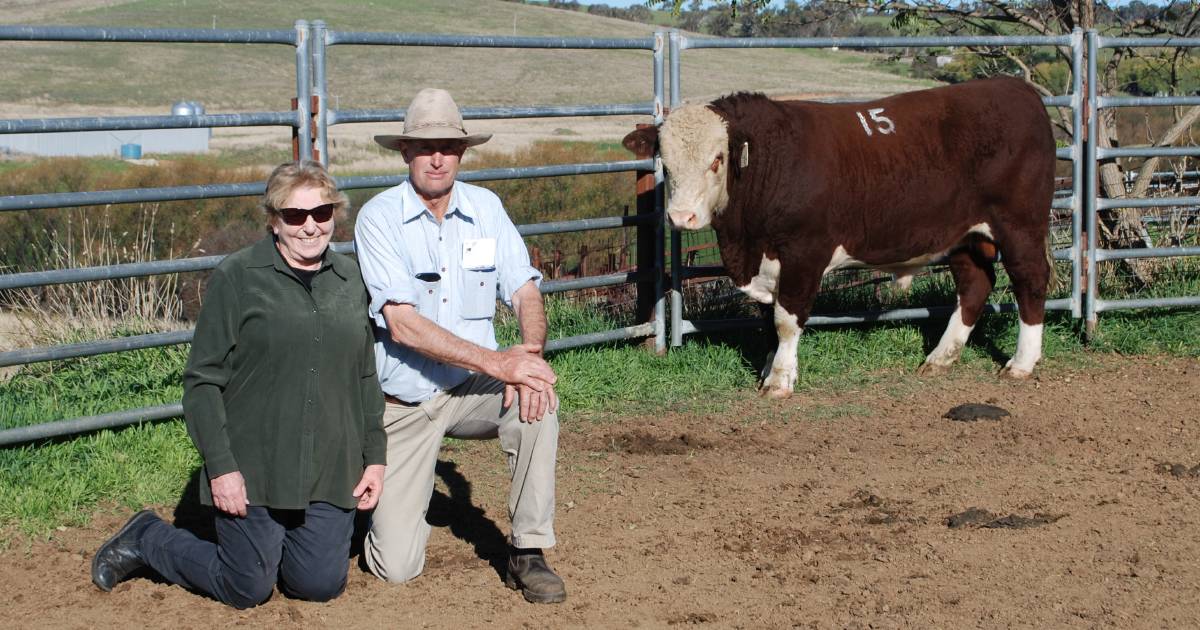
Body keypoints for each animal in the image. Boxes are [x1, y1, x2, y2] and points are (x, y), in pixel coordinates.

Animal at [624, 75, 1056, 398]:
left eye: (717, 160)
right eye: (666, 162)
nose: (681, 216)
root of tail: (1016, 88)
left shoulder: (804, 253)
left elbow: (786, 319)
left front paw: (779, 381)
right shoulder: (767, 261)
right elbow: (769, 317)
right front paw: (771, 369)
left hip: (1019, 224)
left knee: (1031, 280)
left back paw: (1021, 364)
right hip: (964, 235)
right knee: (974, 285)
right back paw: (940, 358)